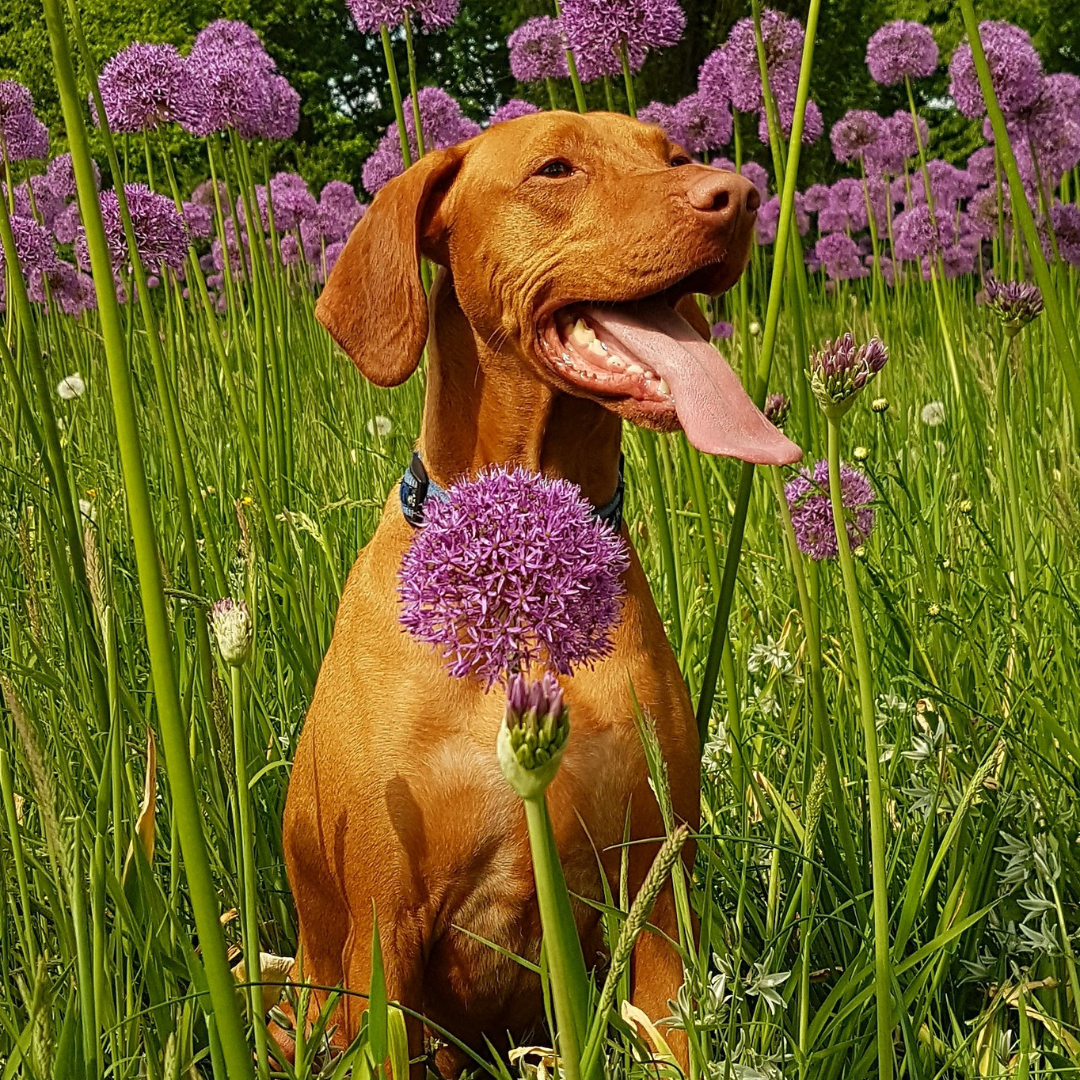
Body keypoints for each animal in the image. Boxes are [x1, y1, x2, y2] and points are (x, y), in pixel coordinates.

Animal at [280, 107, 803, 1071]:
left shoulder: (655, 901)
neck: (524, 575)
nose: (741, 194)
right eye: (556, 168)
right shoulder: (385, 928)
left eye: (673, 155)